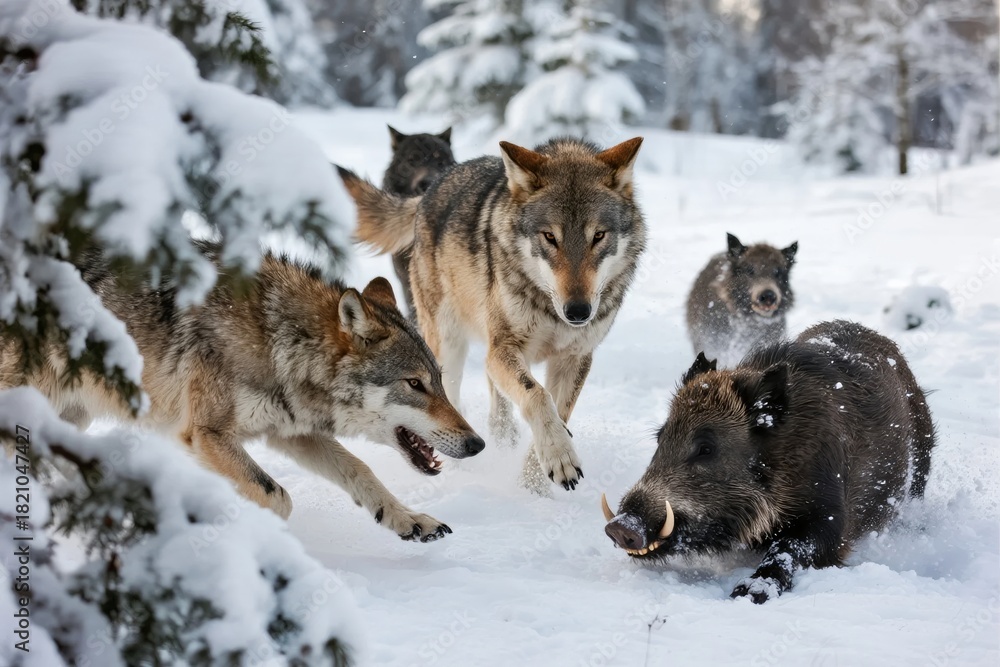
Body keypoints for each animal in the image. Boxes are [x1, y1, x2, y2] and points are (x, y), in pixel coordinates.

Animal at [0, 244, 485, 541]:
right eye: (415, 384)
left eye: (439, 380)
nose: (477, 444)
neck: (277, 341)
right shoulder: (207, 434)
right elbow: (277, 497)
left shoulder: (292, 432)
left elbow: (360, 470)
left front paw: (408, 520)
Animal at [602, 320, 936, 603]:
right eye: (661, 437)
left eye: (706, 448)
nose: (620, 527)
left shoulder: (830, 519)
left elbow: (788, 548)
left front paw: (747, 594)